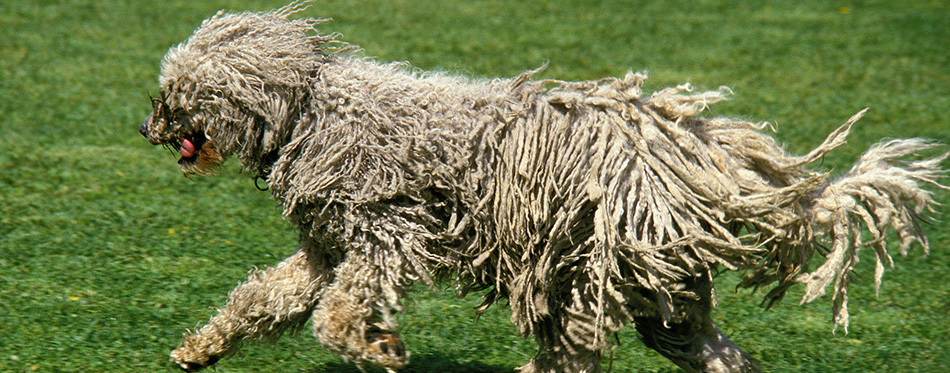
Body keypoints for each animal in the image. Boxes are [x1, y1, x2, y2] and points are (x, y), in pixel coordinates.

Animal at [141, 1, 950, 370]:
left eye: (179, 90)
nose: (148, 124)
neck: (310, 110)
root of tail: (708, 153)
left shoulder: (384, 231)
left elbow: (337, 315)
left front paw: (380, 347)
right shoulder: (326, 246)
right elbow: (265, 298)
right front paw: (201, 347)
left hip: (600, 263)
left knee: (581, 347)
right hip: (660, 286)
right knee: (708, 351)